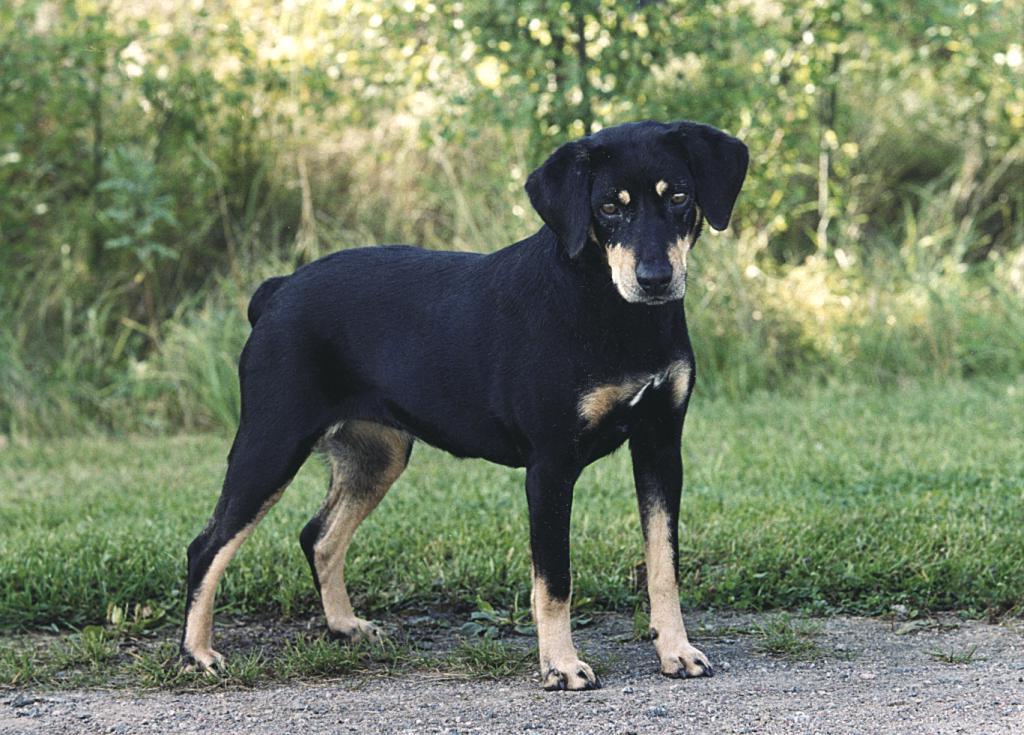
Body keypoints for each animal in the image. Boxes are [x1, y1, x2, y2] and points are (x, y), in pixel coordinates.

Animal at [180, 119, 749, 692]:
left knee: (318, 535)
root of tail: (275, 294)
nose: (654, 279)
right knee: (207, 547)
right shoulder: (550, 466)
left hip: (376, 456)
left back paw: (345, 625)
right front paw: (561, 665)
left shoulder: (660, 445)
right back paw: (197, 655)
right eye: (609, 206)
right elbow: (555, 580)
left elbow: (663, 564)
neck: (612, 311)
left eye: (679, 196)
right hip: (271, 444)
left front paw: (676, 651)